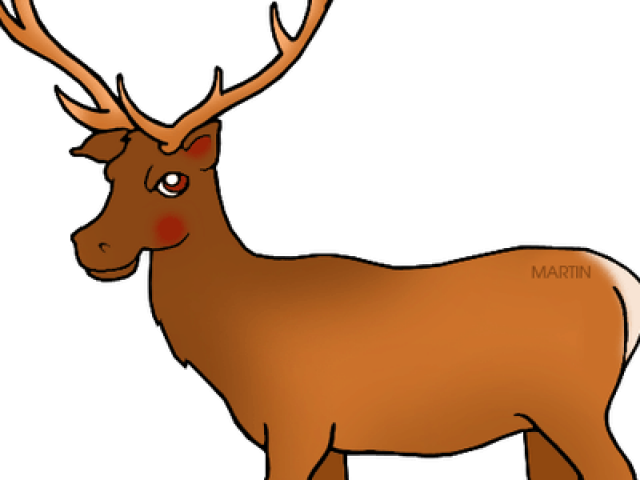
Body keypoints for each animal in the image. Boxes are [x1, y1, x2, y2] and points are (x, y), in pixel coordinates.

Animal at [2, 1, 637, 479]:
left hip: (576, 409)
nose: (94, 245)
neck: (237, 340)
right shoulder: (325, 440)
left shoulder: (297, 424)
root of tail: (623, 285)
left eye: (172, 180)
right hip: (537, 427)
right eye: (111, 174)